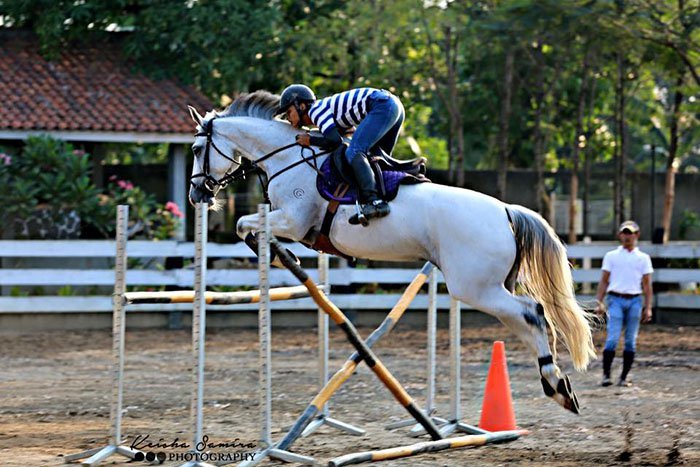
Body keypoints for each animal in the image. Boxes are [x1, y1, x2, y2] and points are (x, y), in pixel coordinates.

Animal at [190, 90, 596, 414]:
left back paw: (556, 384)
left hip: (474, 287)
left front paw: (274, 255)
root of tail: (507, 211)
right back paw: (558, 387)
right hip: (490, 288)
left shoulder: (294, 220)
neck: (288, 157)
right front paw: (277, 255)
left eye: (196, 149)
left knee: (532, 313)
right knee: (527, 319)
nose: (197, 194)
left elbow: (244, 224)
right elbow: (248, 226)